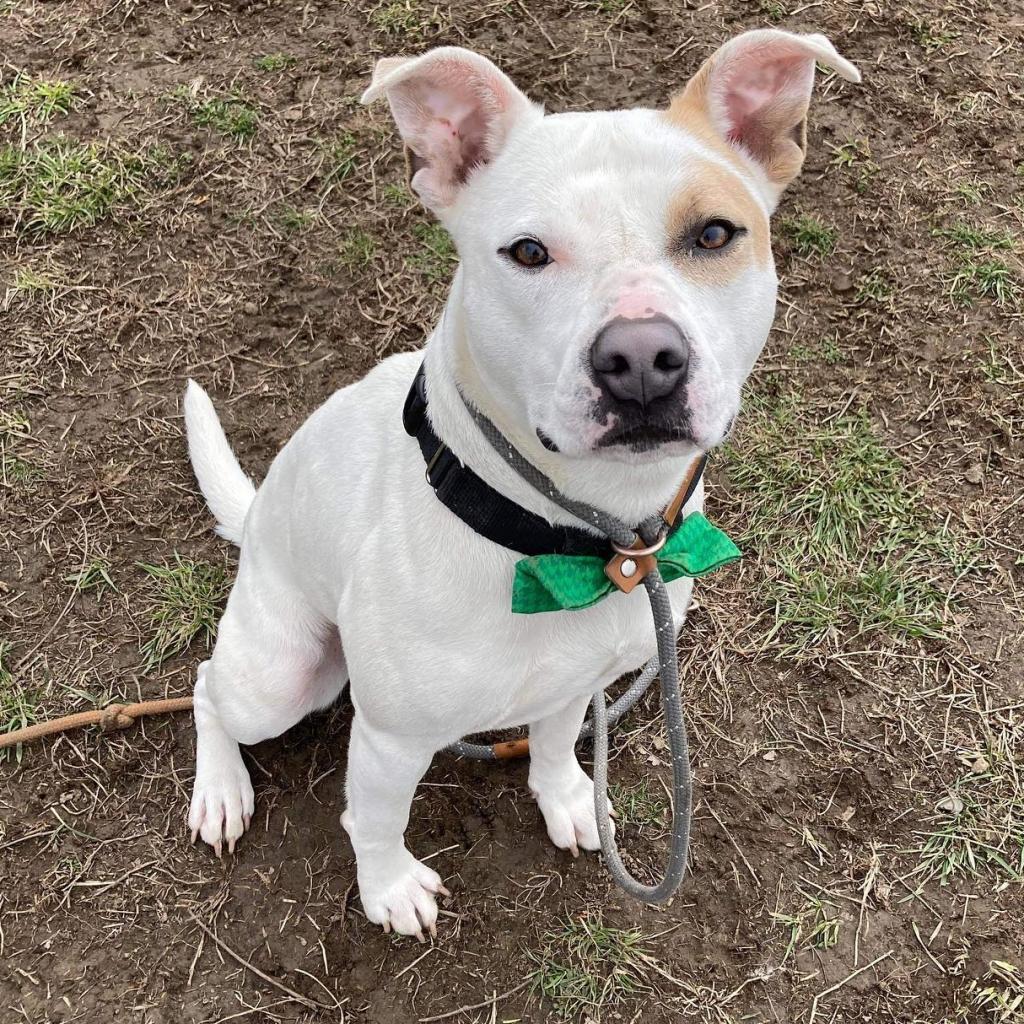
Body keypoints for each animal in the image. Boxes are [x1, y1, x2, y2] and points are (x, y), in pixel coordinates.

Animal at [182, 32, 856, 937]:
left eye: (715, 234)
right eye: (528, 252)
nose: (642, 360)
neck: (587, 542)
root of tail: (256, 524)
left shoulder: (580, 679)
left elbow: (557, 741)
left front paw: (569, 799)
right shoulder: (390, 739)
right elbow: (376, 820)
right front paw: (388, 889)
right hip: (281, 674)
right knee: (207, 690)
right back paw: (220, 790)